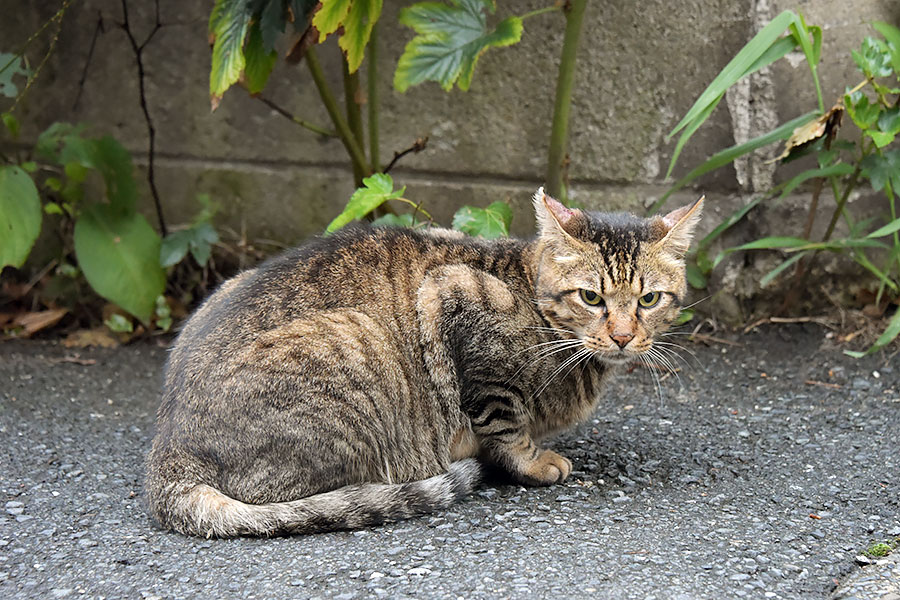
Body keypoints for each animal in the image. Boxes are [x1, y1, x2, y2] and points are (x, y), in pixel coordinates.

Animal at [146, 190, 704, 536]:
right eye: (591, 297)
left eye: (649, 300)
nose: (623, 336)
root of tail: (168, 450)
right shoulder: (453, 302)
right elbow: (506, 423)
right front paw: (533, 461)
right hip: (357, 343)